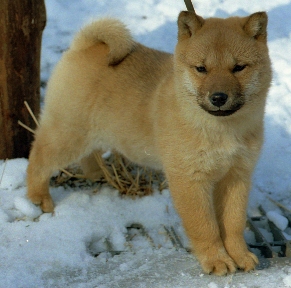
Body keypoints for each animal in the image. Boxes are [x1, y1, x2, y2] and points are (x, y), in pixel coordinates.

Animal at [26, 7, 272, 276]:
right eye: (201, 68)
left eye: (239, 67)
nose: (218, 97)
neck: (221, 129)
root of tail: (84, 46)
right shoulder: (189, 179)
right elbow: (205, 226)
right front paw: (216, 260)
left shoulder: (236, 176)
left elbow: (233, 223)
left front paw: (240, 255)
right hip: (69, 134)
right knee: (38, 158)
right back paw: (39, 198)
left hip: (94, 132)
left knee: (88, 155)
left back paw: (97, 174)